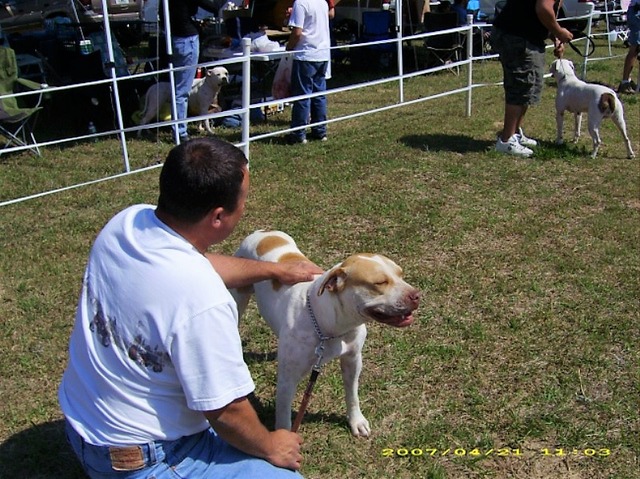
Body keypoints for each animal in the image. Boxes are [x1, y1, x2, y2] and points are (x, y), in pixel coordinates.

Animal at [230, 232, 420, 438]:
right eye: (380, 283)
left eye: (401, 274)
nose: (416, 295)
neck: (331, 326)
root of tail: (263, 232)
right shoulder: (287, 381)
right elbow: (283, 417)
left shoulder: (353, 360)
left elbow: (352, 395)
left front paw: (356, 421)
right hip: (239, 299)